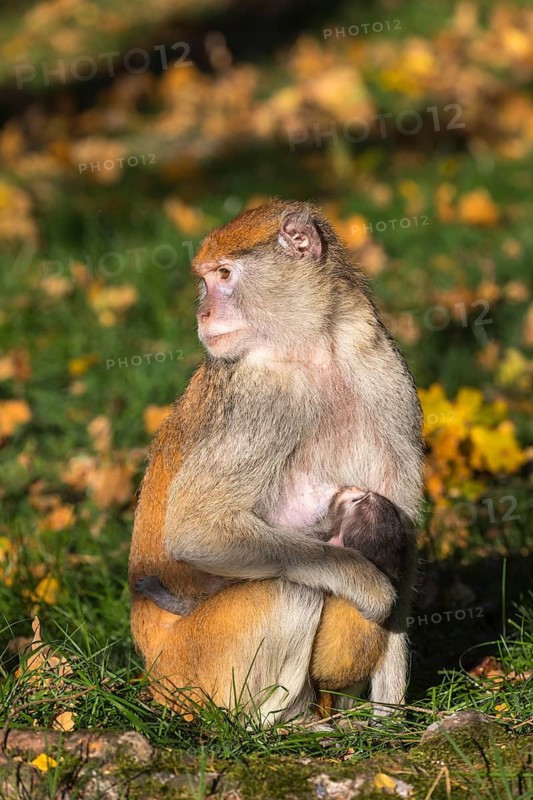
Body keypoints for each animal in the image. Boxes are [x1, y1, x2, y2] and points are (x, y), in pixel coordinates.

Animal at [129, 199, 423, 724]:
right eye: (205, 280)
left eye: (224, 275)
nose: (203, 312)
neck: (317, 348)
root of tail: (154, 672)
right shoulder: (260, 398)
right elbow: (197, 531)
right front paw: (367, 585)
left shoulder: (384, 372)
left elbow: (402, 532)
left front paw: (389, 720)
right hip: (196, 670)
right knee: (290, 588)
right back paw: (271, 728)